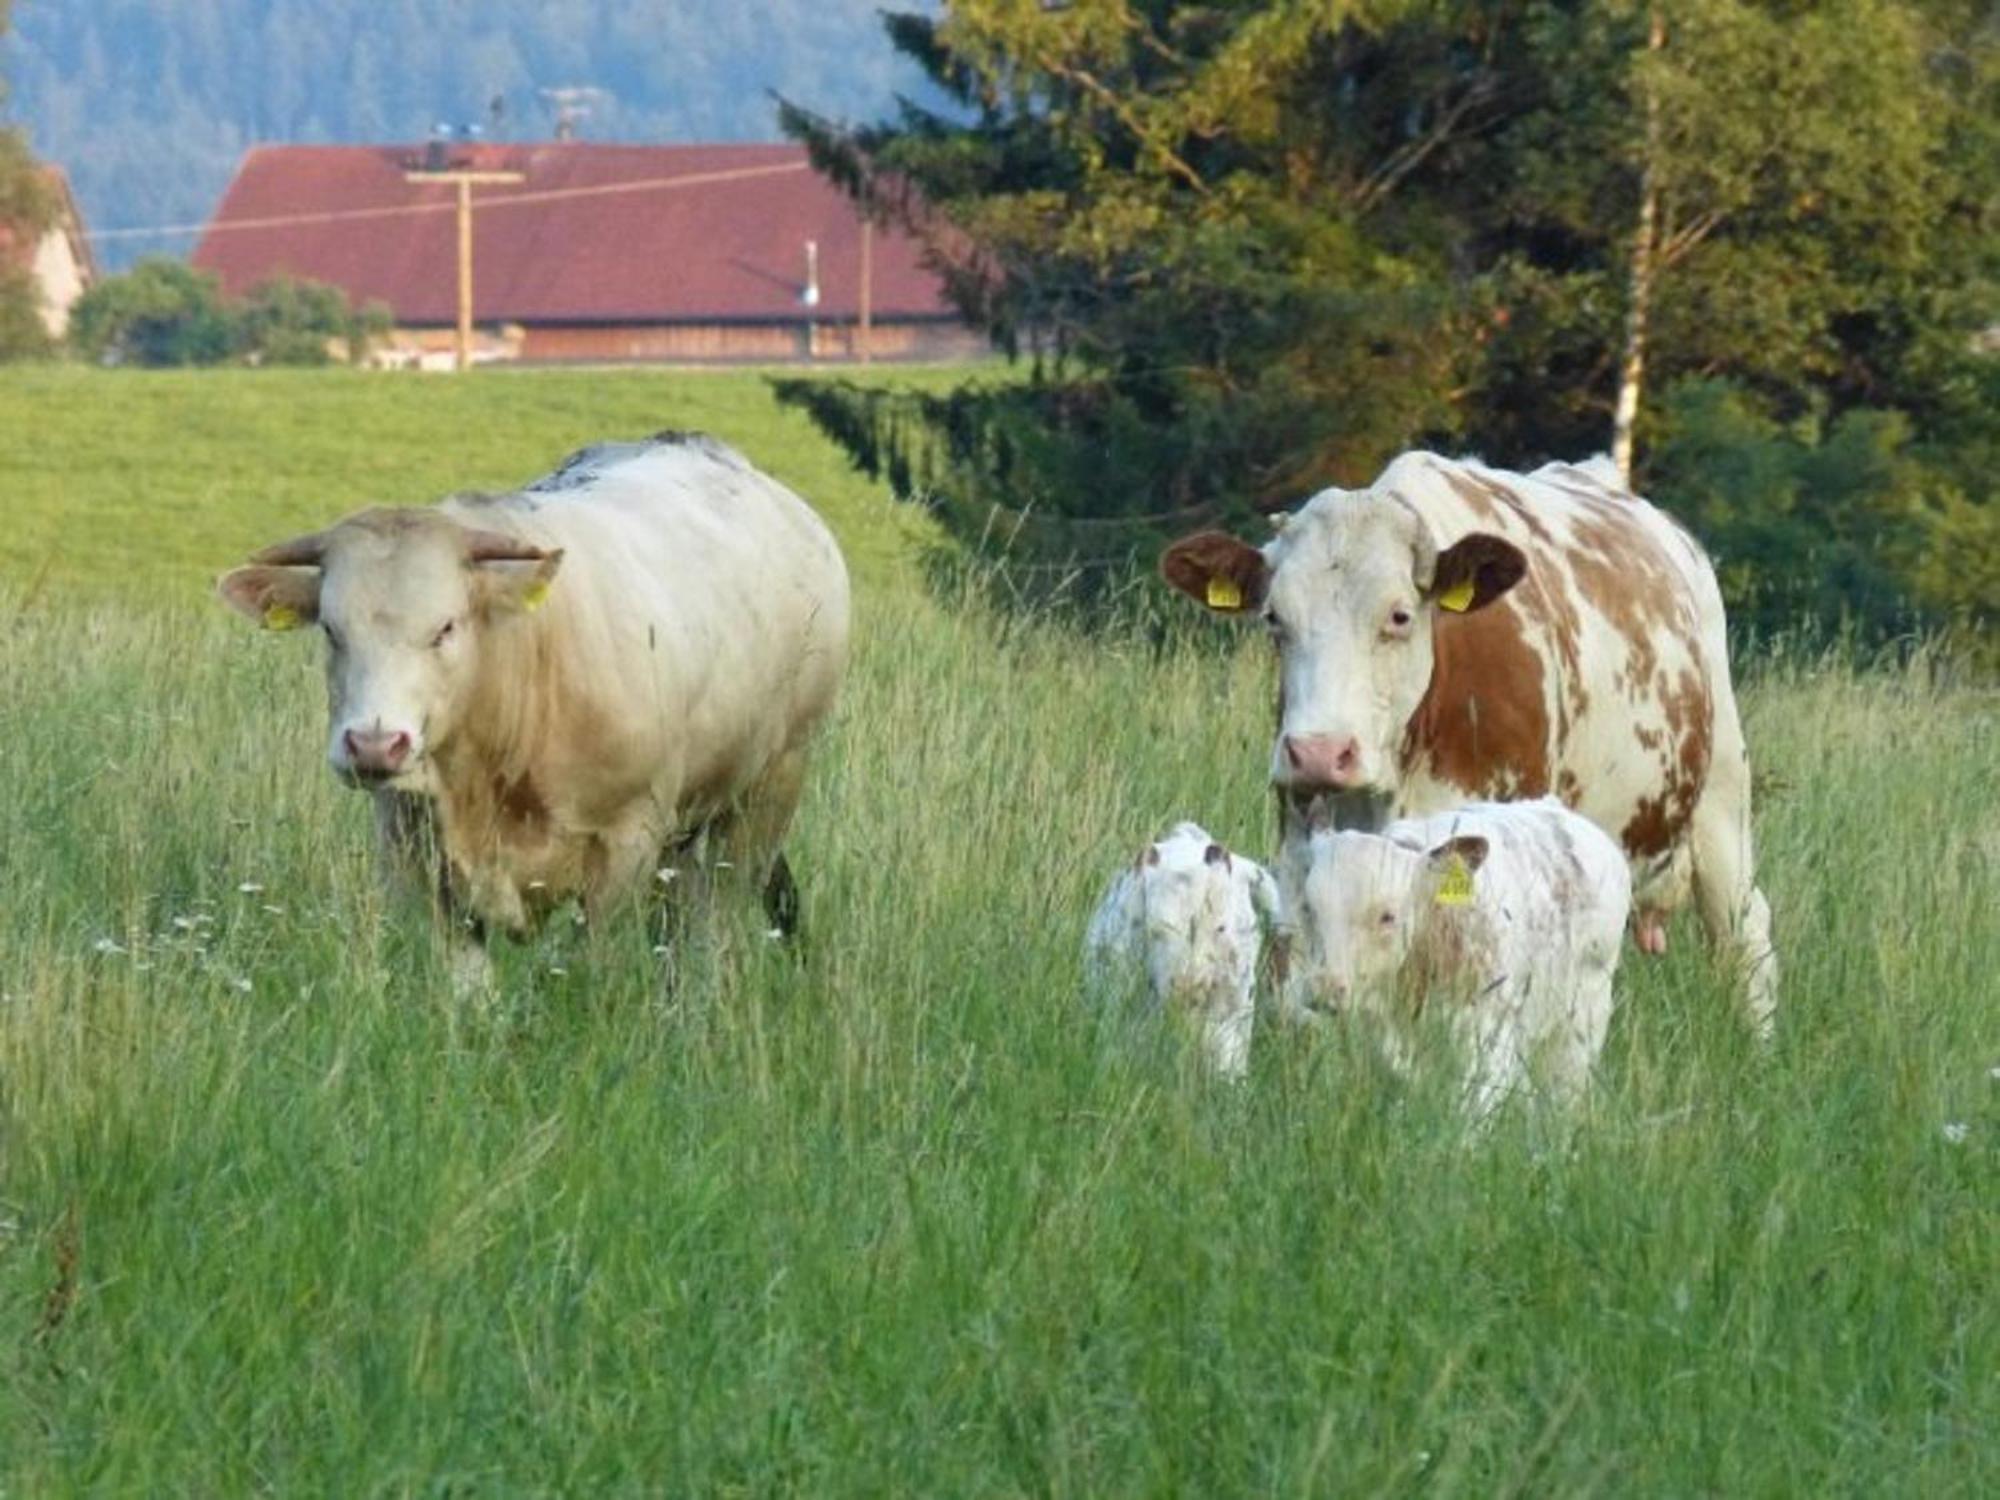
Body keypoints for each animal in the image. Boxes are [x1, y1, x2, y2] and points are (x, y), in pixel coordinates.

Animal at [219, 428, 852, 956]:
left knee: (714, 926)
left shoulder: (624, 848)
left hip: (769, 790)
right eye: (330, 628)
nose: (374, 746)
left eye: (446, 626)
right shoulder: (418, 862)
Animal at [1168, 452, 1776, 1040]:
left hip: (1723, 804)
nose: (1320, 751)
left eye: (1398, 616)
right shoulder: (1301, 846)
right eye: (1275, 618)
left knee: (1745, 937)